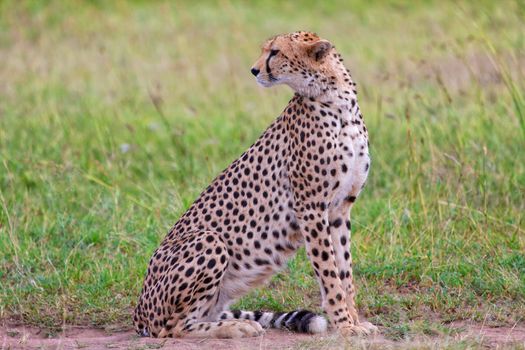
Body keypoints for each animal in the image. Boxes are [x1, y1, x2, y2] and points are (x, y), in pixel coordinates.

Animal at [131, 31, 376, 338]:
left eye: (275, 52)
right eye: (265, 50)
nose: (254, 70)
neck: (337, 100)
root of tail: (139, 310)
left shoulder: (341, 208)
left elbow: (344, 270)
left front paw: (354, 320)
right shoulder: (310, 207)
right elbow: (329, 272)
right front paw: (344, 324)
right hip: (209, 241)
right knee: (173, 328)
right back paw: (237, 326)